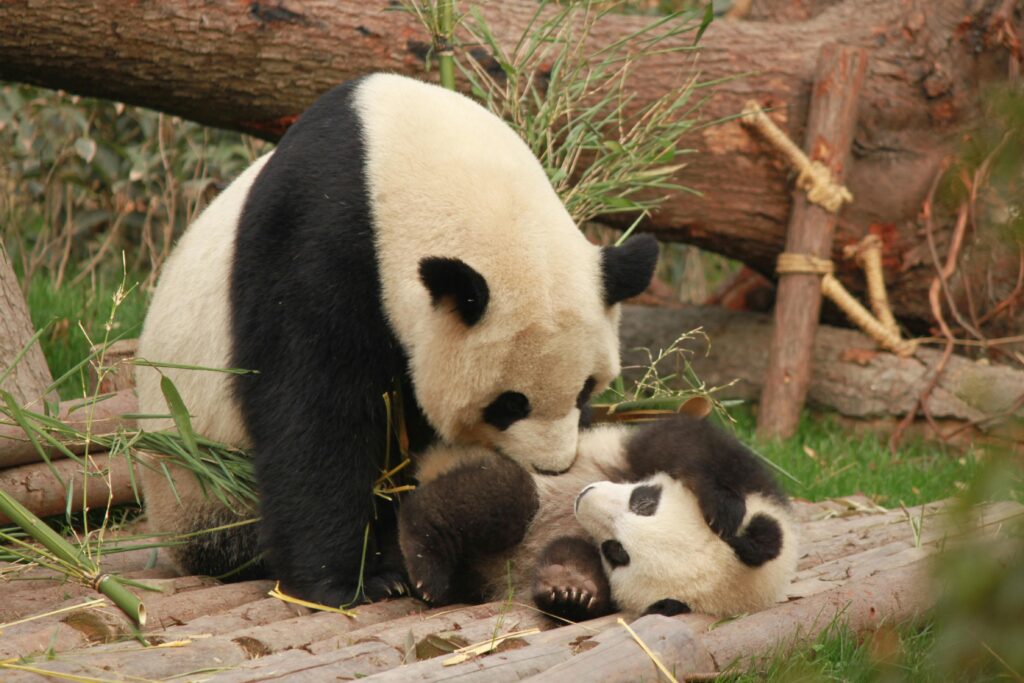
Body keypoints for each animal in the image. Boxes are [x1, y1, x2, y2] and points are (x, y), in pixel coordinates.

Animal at [134, 73, 659, 606]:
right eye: (509, 403)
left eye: (585, 389)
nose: (552, 467)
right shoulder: (314, 242)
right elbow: (314, 414)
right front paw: (346, 582)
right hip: (199, 480)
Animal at [398, 415, 798, 620]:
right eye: (644, 501)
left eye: (616, 551)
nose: (584, 498)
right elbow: (686, 441)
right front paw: (721, 506)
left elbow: (575, 560)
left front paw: (570, 590)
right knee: (505, 498)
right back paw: (425, 564)